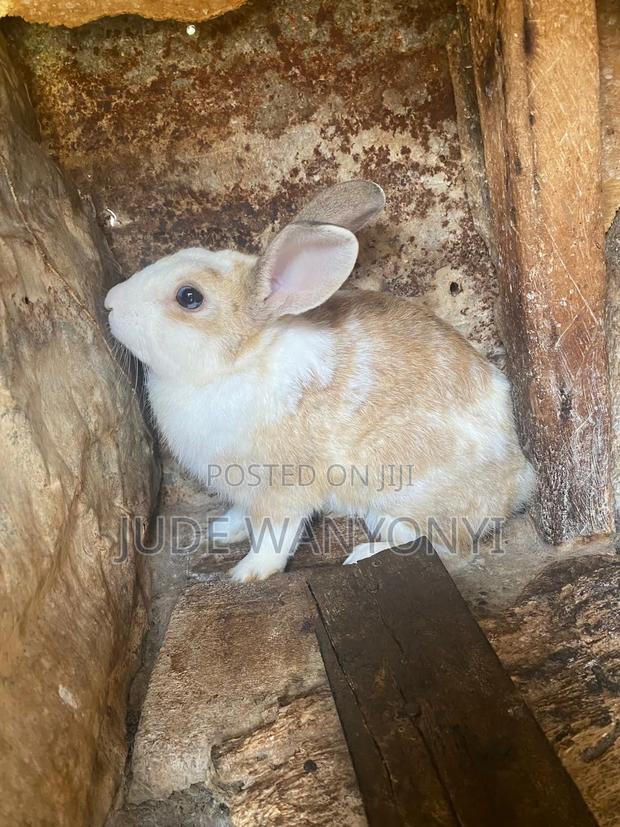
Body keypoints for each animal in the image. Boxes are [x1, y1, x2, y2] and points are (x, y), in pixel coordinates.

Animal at [105, 180, 536, 582]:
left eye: (189, 297)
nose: (109, 301)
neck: (235, 364)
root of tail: (518, 480)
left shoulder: (282, 488)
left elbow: (275, 536)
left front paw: (246, 574)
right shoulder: (244, 490)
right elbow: (243, 514)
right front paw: (222, 530)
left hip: (396, 500)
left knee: (443, 546)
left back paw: (363, 555)